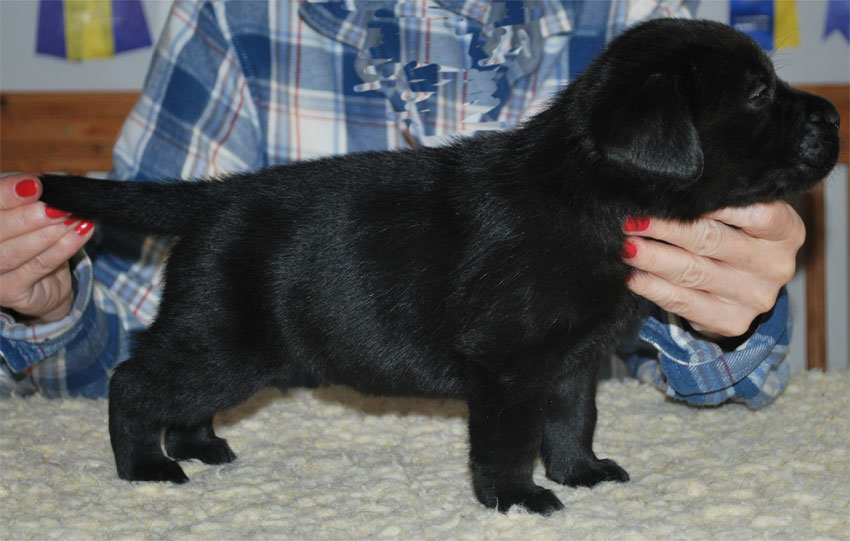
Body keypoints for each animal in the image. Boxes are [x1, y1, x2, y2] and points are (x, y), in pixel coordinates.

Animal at [39, 19, 840, 515]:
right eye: (757, 92)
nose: (834, 114)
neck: (590, 193)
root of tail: (212, 195)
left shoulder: (571, 361)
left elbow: (573, 420)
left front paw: (581, 474)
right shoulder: (507, 363)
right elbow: (510, 440)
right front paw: (517, 499)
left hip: (226, 345)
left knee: (180, 395)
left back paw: (203, 446)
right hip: (222, 337)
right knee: (133, 382)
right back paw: (146, 466)